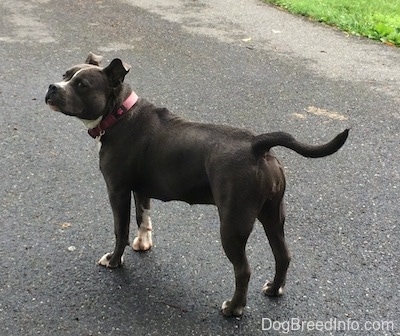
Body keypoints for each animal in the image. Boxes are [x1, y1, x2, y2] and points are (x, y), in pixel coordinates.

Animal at [45, 51, 348, 316]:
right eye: (65, 75)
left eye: (82, 85)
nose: (52, 86)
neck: (119, 112)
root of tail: (257, 145)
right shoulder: (141, 189)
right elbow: (144, 217)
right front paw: (143, 243)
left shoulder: (117, 190)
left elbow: (120, 230)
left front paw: (114, 260)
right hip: (273, 215)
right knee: (282, 255)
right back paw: (274, 289)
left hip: (233, 224)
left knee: (243, 269)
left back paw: (233, 308)